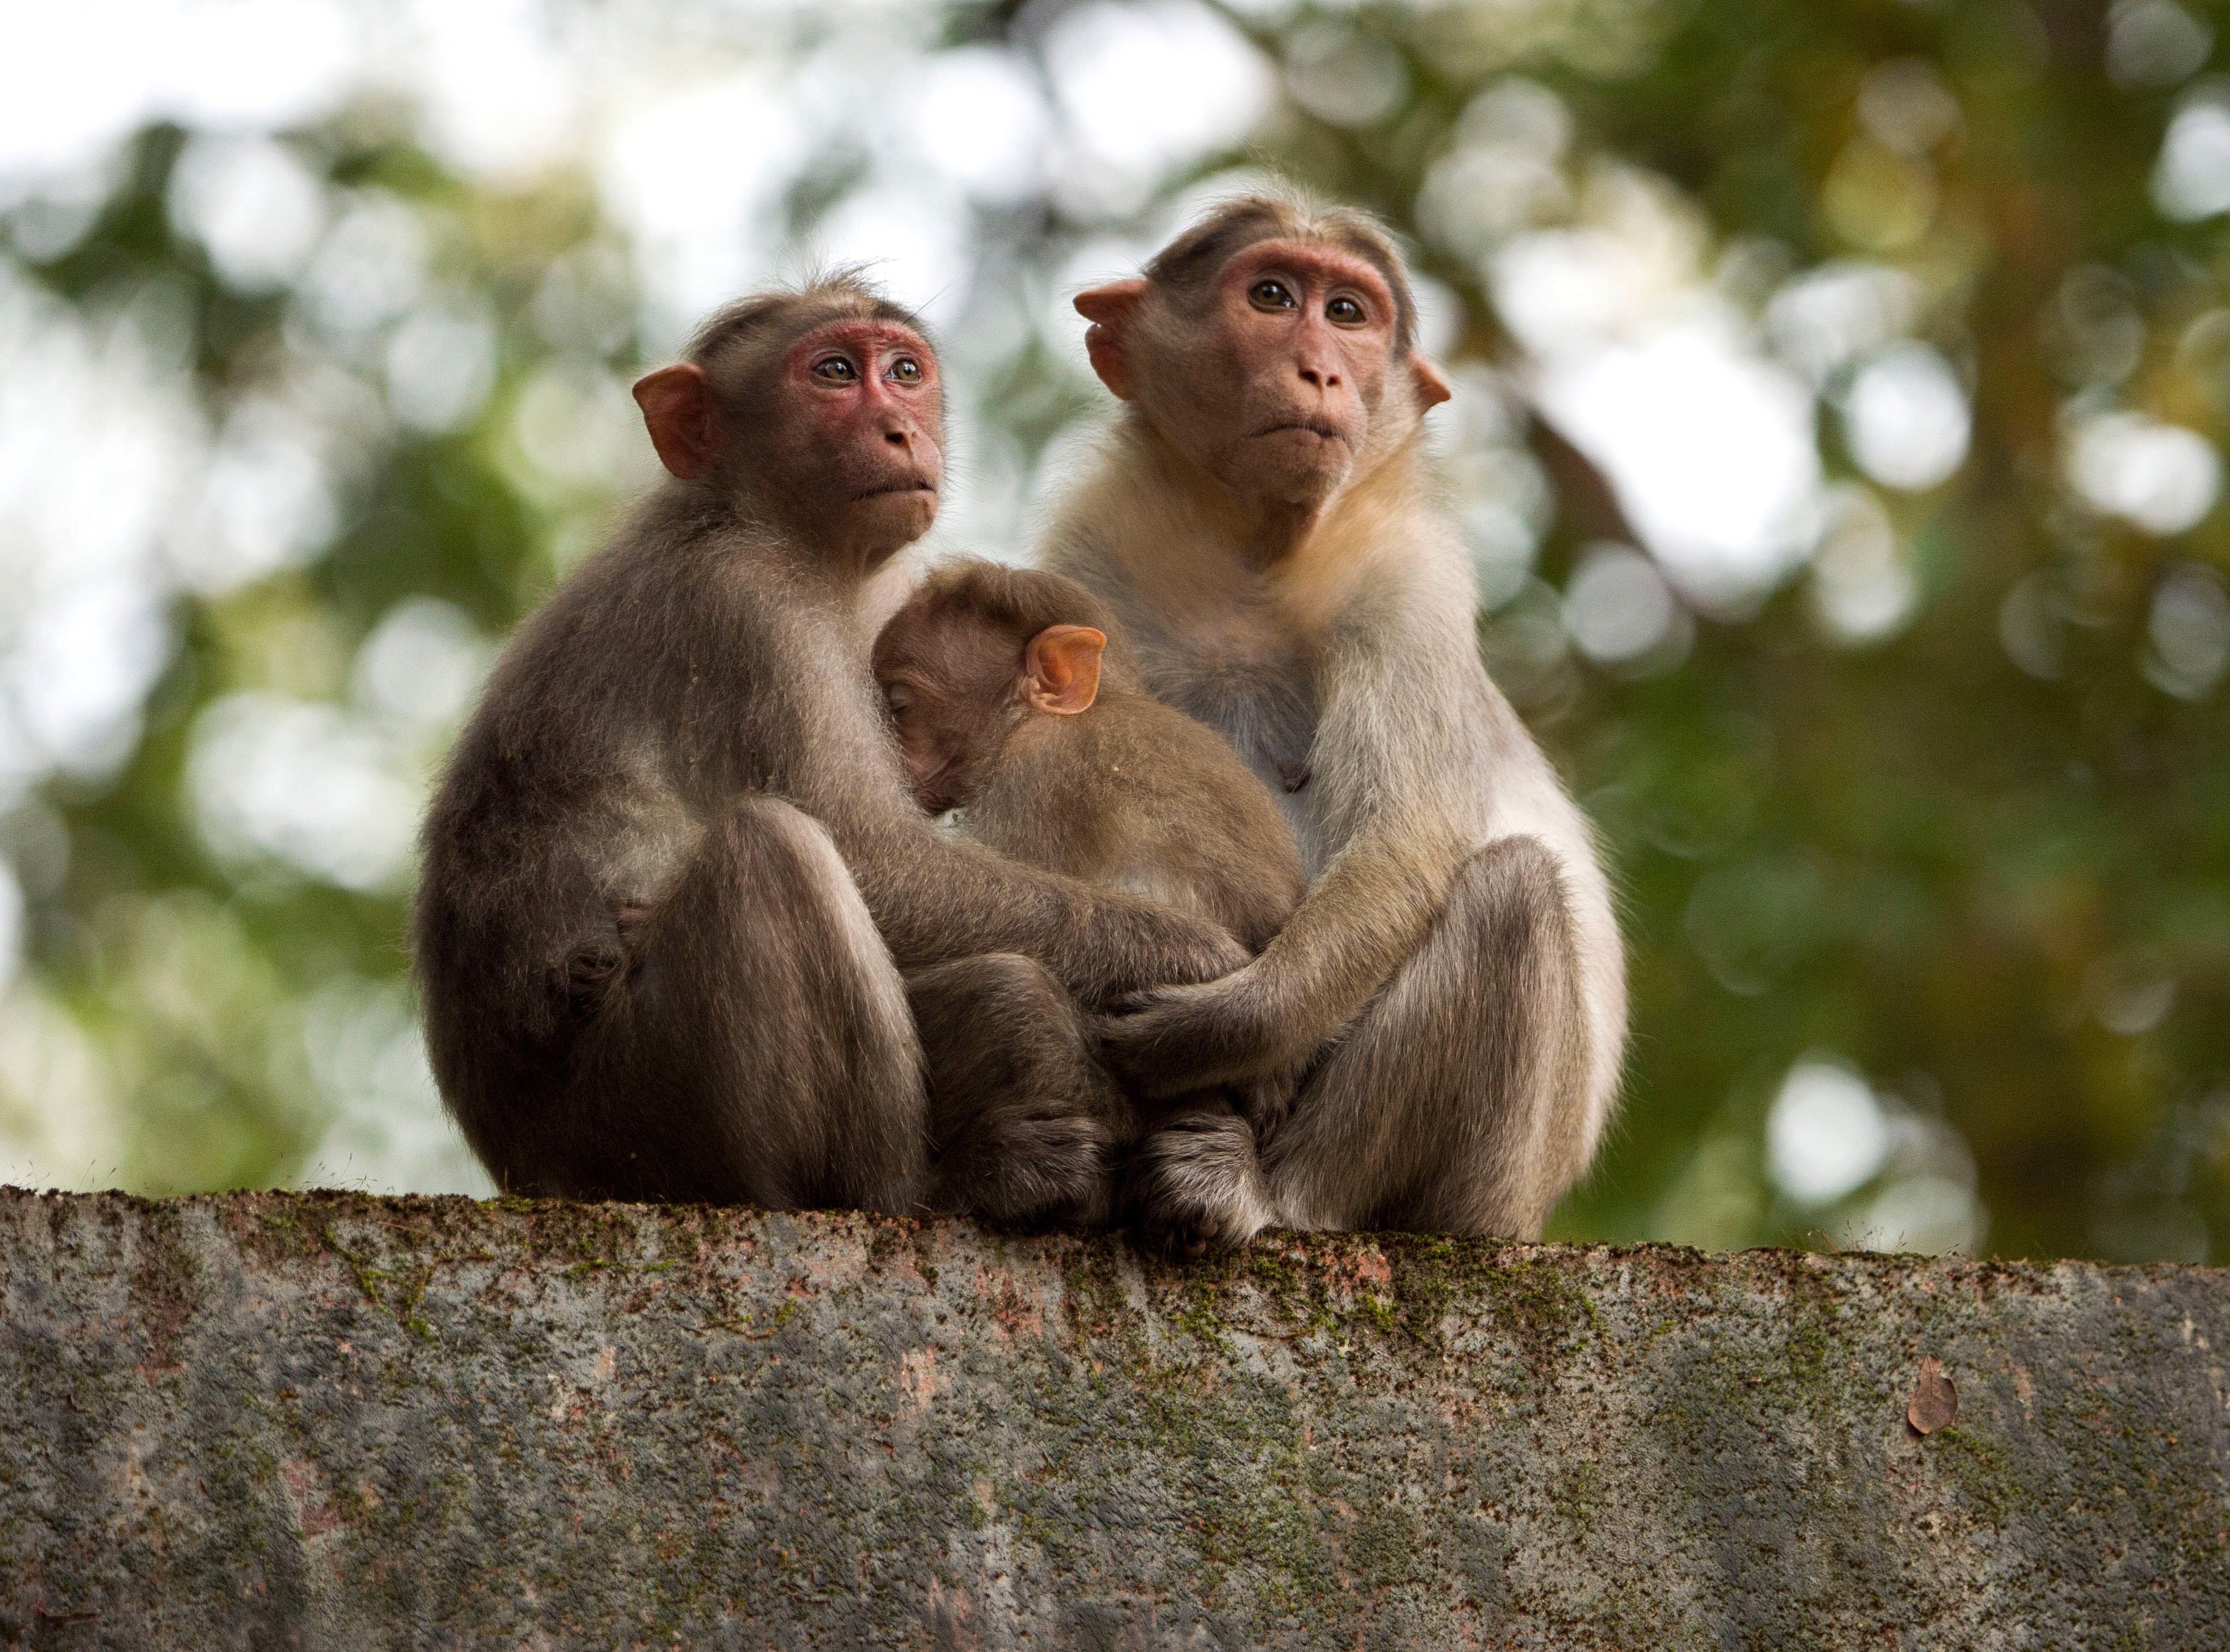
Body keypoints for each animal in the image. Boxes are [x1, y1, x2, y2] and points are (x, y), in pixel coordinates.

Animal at [410, 274, 1249, 1221]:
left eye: (905, 372)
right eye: (836, 372)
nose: (900, 430)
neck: (769, 527)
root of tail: (518, 1159)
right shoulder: (747, 605)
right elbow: (875, 856)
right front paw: (1200, 964)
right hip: (632, 1125)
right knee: (773, 851)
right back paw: (920, 1188)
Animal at [1034, 192, 1632, 1239]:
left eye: (1347, 314)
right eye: (1272, 297)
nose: (1320, 368)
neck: (1253, 548)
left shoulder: (1409, 579)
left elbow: (1406, 838)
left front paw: (1218, 1030)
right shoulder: (1086, 554)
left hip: (1493, 1184)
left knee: (1513, 896)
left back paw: (1269, 1191)